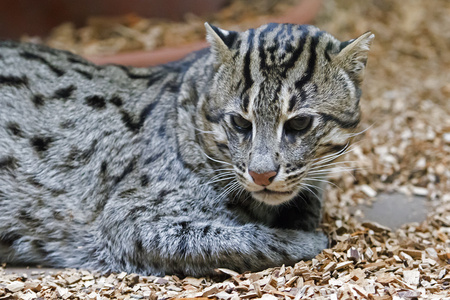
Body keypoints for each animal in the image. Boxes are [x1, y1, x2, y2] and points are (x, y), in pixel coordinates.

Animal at [0, 23, 372, 276]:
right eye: (239, 123)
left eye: (299, 124)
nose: (261, 174)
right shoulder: (127, 220)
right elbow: (236, 238)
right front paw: (307, 241)